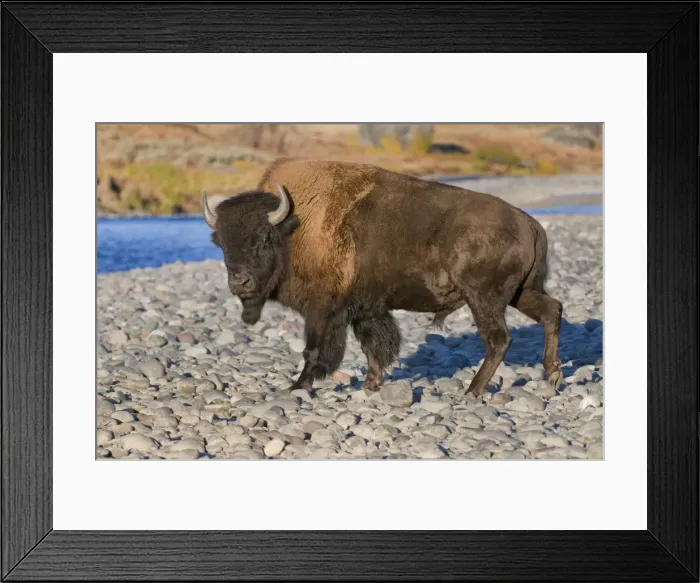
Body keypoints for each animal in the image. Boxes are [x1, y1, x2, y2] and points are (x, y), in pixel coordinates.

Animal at [203, 158, 563, 397]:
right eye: (219, 241)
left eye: (264, 238)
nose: (239, 282)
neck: (295, 229)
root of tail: (529, 223)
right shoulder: (365, 309)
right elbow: (372, 346)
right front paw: (371, 384)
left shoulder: (323, 310)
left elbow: (314, 350)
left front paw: (298, 387)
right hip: (519, 293)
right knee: (551, 312)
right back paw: (552, 375)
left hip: (484, 299)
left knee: (499, 340)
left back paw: (472, 391)